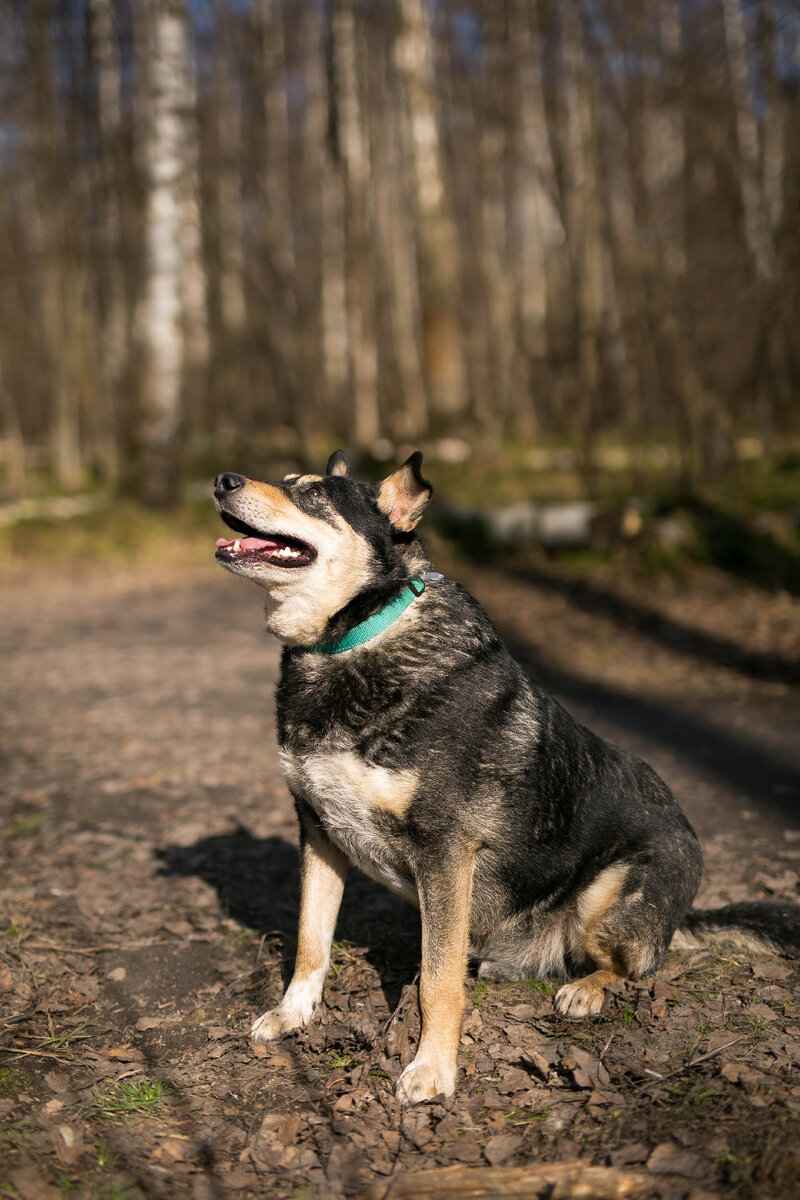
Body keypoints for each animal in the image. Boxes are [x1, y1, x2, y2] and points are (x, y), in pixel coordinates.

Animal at [212, 451, 800, 1104]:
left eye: (313, 493)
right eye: (287, 481)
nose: (222, 481)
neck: (350, 642)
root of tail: (683, 908)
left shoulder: (445, 851)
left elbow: (437, 981)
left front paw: (432, 1069)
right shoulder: (318, 831)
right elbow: (310, 942)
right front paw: (293, 1015)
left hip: (609, 896)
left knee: (635, 968)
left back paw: (586, 990)